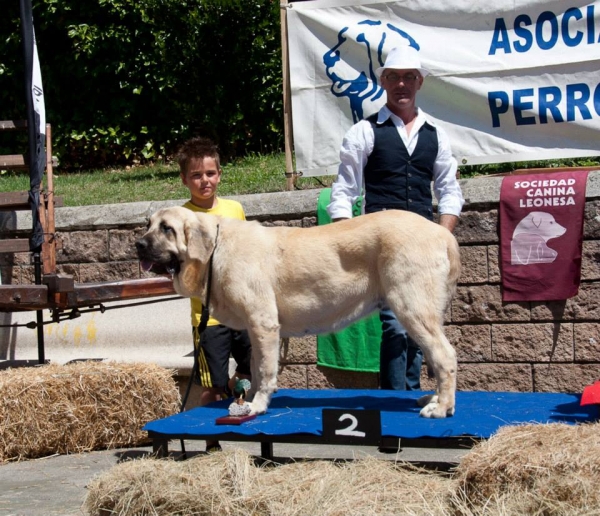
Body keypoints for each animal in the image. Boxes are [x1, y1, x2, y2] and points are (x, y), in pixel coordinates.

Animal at [138, 204, 462, 418]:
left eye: (167, 228)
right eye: (148, 224)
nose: (139, 243)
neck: (215, 251)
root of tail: (443, 234)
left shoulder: (263, 323)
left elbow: (265, 369)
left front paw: (256, 405)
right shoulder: (257, 330)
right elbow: (254, 367)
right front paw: (248, 398)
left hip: (412, 308)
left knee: (445, 355)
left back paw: (441, 407)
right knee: (439, 357)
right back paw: (433, 399)